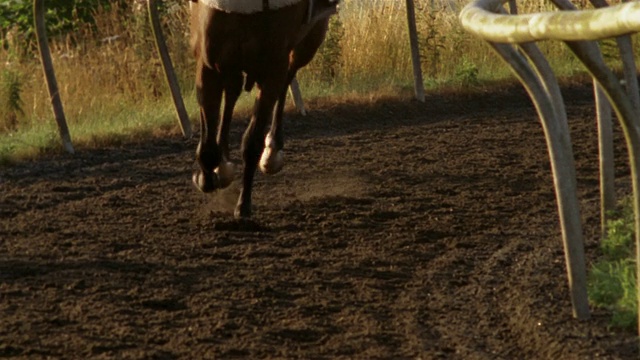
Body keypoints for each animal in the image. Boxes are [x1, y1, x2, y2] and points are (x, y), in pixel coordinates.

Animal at [190, 0, 340, 218]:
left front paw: (243, 205)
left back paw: (271, 149)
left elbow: (252, 142)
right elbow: (208, 149)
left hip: (309, 40)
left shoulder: (273, 67)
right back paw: (224, 160)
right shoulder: (210, 65)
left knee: (288, 76)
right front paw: (207, 177)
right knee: (233, 91)